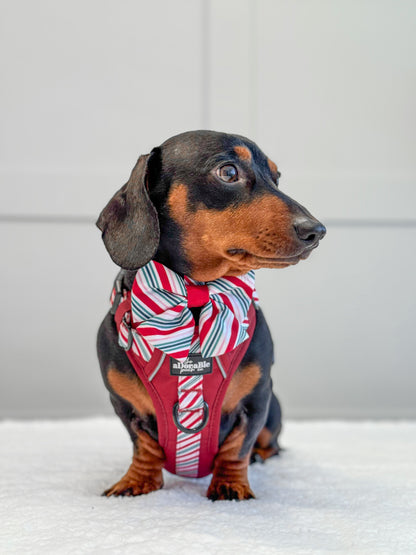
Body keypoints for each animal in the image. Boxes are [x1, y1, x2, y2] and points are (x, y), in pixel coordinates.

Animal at [96, 129, 324, 500]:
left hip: (274, 408)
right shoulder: (124, 405)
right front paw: (136, 481)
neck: (194, 294)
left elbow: (238, 446)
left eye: (276, 177)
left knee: (270, 442)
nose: (316, 231)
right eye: (228, 172)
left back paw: (262, 457)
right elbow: (143, 445)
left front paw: (231, 485)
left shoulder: (256, 401)